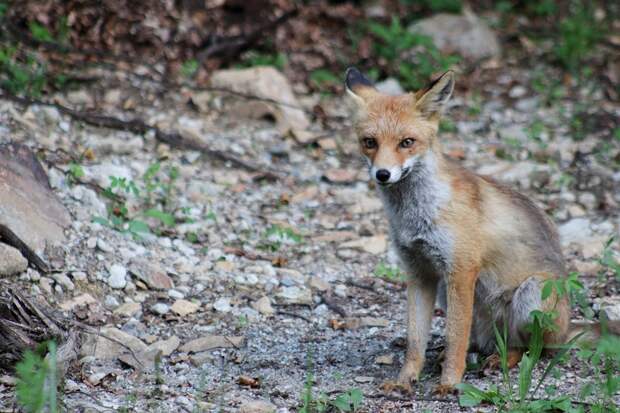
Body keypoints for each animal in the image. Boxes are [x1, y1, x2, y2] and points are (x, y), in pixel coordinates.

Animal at [344, 67, 572, 392]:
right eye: (370, 142)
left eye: (406, 142)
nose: (383, 174)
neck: (416, 215)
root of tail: (568, 330)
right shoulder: (420, 272)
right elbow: (416, 339)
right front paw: (405, 380)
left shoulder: (461, 270)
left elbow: (454, 337)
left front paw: (449, 383)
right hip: (447, 292)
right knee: (476, 342)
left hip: (532, 294)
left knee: (528, 348)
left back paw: (503, 359)